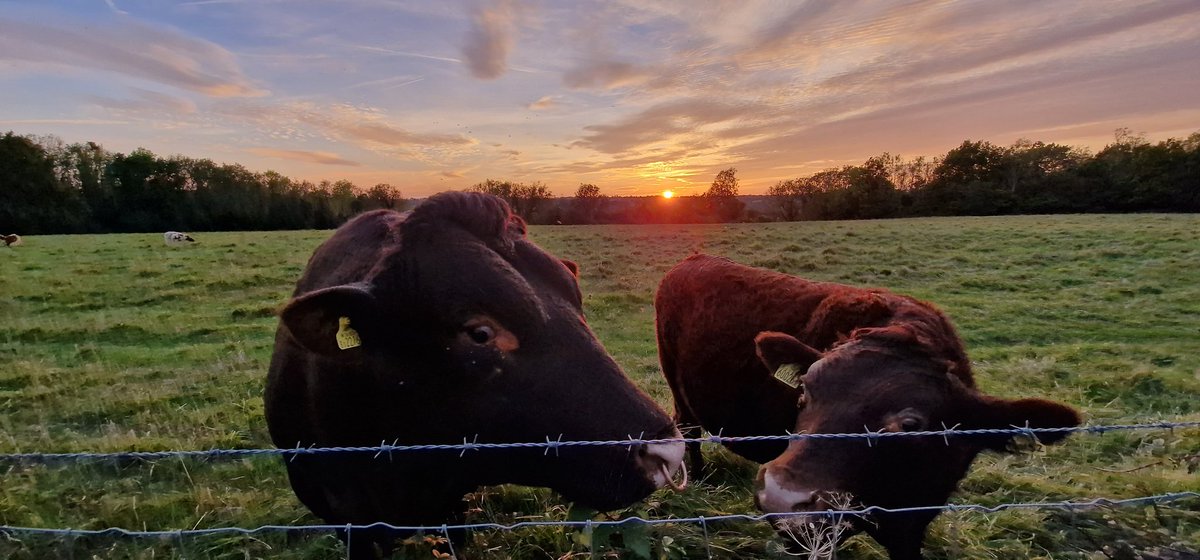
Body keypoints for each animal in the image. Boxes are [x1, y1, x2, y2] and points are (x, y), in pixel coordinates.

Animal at [657, 255, 1080, 560]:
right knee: (688, 430)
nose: (781, 494)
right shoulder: (810, 528)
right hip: (679, 390)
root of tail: (693, 260)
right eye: (803, 392)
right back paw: (700, 478)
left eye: (909, 424)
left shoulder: (916, 517)